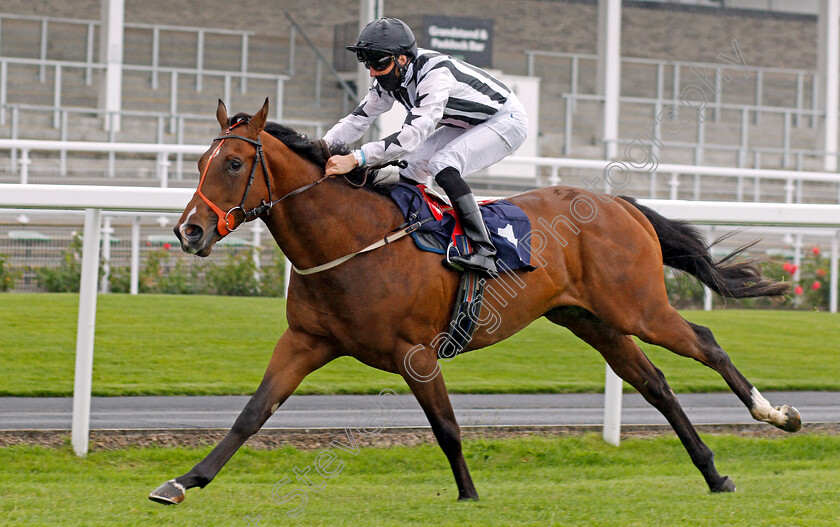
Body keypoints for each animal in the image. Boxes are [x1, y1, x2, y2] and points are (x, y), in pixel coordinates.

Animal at [151, 100, 800, 508]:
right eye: (201, 162)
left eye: (235, 162)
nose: (189, 231)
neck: (350, 240)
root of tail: (622, 204)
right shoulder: (306, 342)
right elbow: (252, 413)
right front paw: (183, 481)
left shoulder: (414, 352)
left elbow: (446, 426)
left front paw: (467, 493)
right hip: (593, 321)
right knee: (656, 384)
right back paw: (714, 473)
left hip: (636, 307)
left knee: (705, 344)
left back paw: (777, 415)